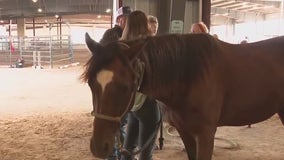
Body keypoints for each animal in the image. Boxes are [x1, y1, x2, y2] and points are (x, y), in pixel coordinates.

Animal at [81, 32, 284, 160]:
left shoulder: (206, 134)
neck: (190, 76)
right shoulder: (185, 132)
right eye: (91, 84)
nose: (99, 147)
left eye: (124, 87)